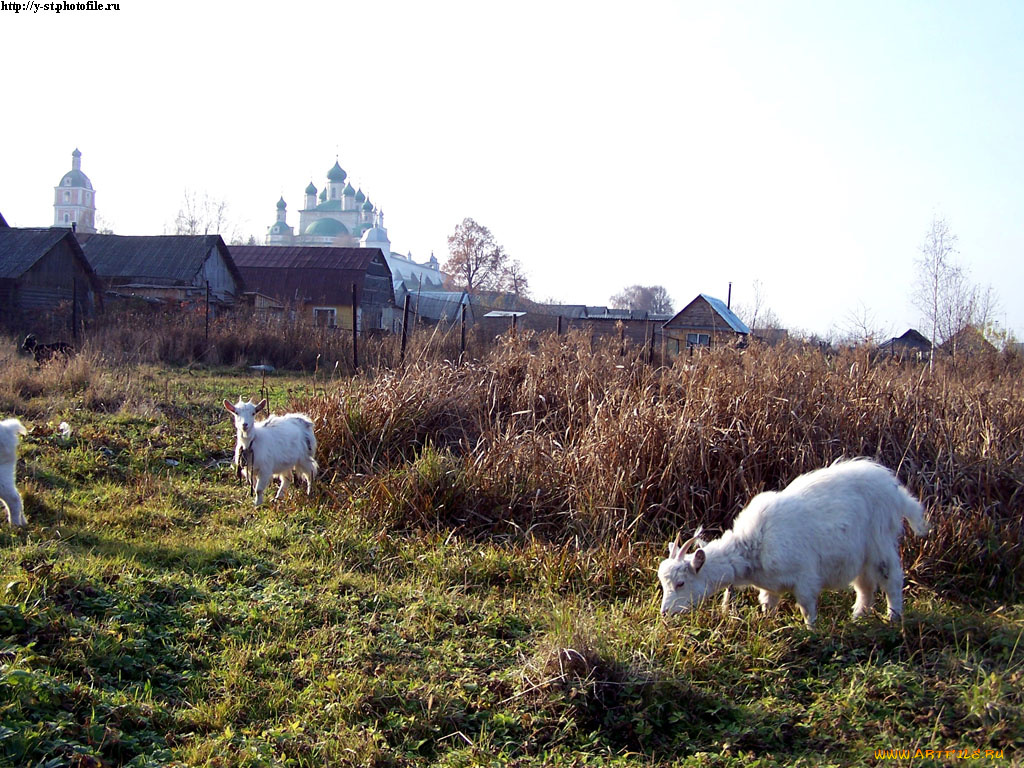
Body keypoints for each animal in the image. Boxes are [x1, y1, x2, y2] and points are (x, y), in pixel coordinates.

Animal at [659, 460, 933, 626]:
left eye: (681, 583)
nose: (665, 612)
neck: (754, 546)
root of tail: (895, 490)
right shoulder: (770, 586)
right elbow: (767, 604)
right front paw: (768, 624)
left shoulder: (805, 578)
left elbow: (807, 608)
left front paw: (811, 631)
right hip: (860, 555)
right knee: (865, 586)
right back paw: (857, 617)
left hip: (880, 542)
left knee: (891, 579)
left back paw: (893, 618)